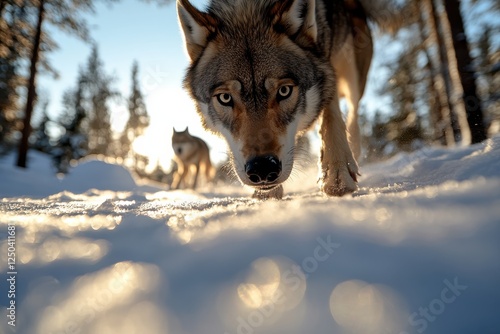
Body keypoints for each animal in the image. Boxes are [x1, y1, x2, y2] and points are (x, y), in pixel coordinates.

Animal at [176, 0, 398, 198]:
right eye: (225, 98)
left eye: (284, 91)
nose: (262, 168)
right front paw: (266, 194)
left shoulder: (326, 65)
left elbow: (331, 116)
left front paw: (337, 175)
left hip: (353, 71)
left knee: (353, 112)